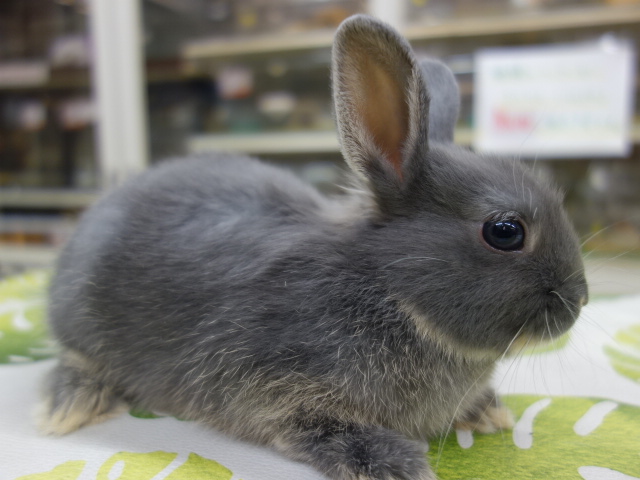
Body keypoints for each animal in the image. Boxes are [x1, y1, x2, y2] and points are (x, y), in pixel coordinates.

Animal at [38, 14, 588, 480]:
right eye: (505, 231)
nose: (578, 301)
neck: (390, 293)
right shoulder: (269, 383)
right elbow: (310, 425)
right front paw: (393, 462)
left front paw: (489, 411)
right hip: (81, 320)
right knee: (76, 358)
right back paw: (68, 406)